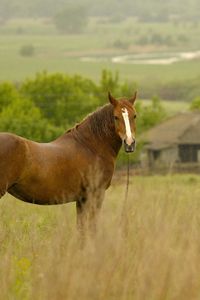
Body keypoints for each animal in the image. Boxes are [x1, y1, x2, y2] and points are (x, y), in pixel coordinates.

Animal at [0, 91, 137, 232]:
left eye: (134, 116)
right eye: (116, 117)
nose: (129, 143)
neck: (90, 146)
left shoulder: (82, 199)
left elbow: (81, 228)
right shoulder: (96, 194)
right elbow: (92, 227)